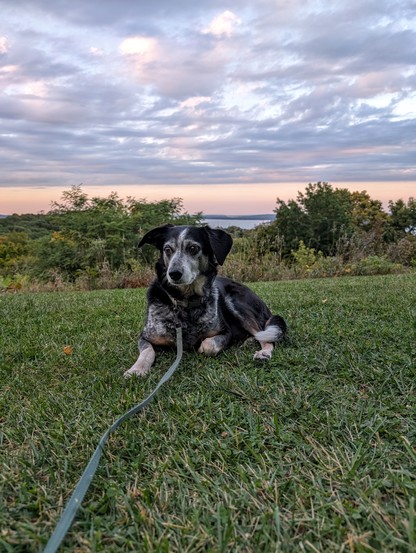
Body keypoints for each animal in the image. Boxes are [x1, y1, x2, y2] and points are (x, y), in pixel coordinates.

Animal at [123, 223, 286, 376]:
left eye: (193, 248)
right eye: (167, 249)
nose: (173, 273)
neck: (185, 302)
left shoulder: (225, 332)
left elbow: (209, 346)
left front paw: (202, 346)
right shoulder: (145, 337)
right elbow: (147, 351)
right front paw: (136, 369)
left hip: (235, 302)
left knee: (264, 335)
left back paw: (263, 351)